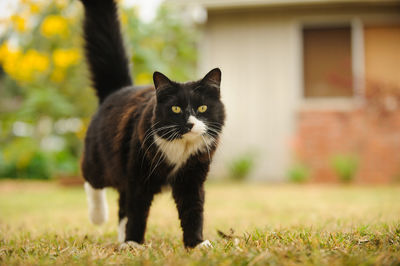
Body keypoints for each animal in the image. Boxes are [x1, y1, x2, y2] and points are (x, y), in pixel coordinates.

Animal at [78, 0, 225, 248]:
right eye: (176, 109)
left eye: (202, 108)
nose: (191, 123)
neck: (180, 148)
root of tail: (118, 90)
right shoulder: (138, 176)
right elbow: (137, 211)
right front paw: (134, 243)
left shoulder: (192, 178)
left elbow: (193, 211)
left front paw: (196, 244)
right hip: (100, 161)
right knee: (92, 182)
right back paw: (99, 217)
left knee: (122, 207)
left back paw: (121, 238)